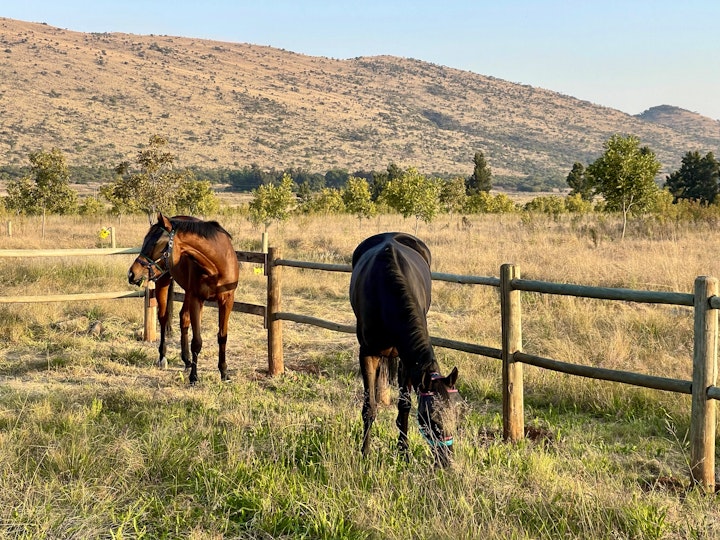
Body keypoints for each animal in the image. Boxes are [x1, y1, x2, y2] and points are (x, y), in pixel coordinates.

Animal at [129, 213, 239, 382]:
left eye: (156, 244)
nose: (132, 274)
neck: (216, 266)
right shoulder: (196, 299)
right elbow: (197, 341)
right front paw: (194, 376)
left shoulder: (227, 301)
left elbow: (222, 336)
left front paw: (224, 372)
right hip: (163, 281)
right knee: (163, 317)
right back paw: (163, 357)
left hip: (186, 291)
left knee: (183, 318)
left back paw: (186, 360)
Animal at [350, 232, 462, 468]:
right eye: (431, 419)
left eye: (457, 416)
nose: (446, 462)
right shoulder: (367, 353)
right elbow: (369, 407)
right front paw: (365, 454)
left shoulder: (406, 359)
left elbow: (404, 406)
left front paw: (404, 453)